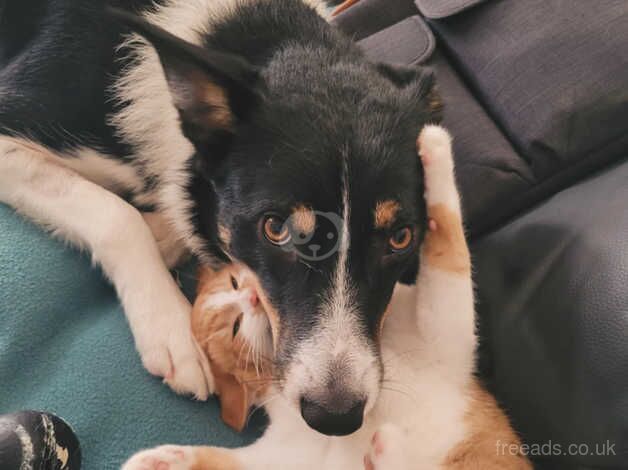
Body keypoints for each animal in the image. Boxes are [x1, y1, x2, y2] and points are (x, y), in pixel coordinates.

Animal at [121, 126, 528, 468]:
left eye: (235, 283)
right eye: (233, 328)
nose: (252, 296)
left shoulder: (442, 343)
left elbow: (446, 230)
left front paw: (435, 150)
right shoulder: (285, 455)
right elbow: (449, 245)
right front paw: (160, 460)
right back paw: (386, 450)